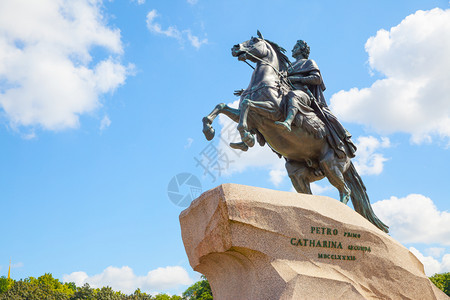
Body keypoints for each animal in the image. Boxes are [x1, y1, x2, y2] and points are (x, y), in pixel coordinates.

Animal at [200, 33, 386, 234]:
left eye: (254, 41)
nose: (235, 48)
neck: (264, 82)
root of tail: (349, 157)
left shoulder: (272, 111)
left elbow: (246, 104)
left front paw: (247, 137)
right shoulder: (249, 116)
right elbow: (223, 106)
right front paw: (209, 130)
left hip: (330, 165)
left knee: (345, 191)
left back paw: (339, 217)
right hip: (298, 174)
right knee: (311, 194)